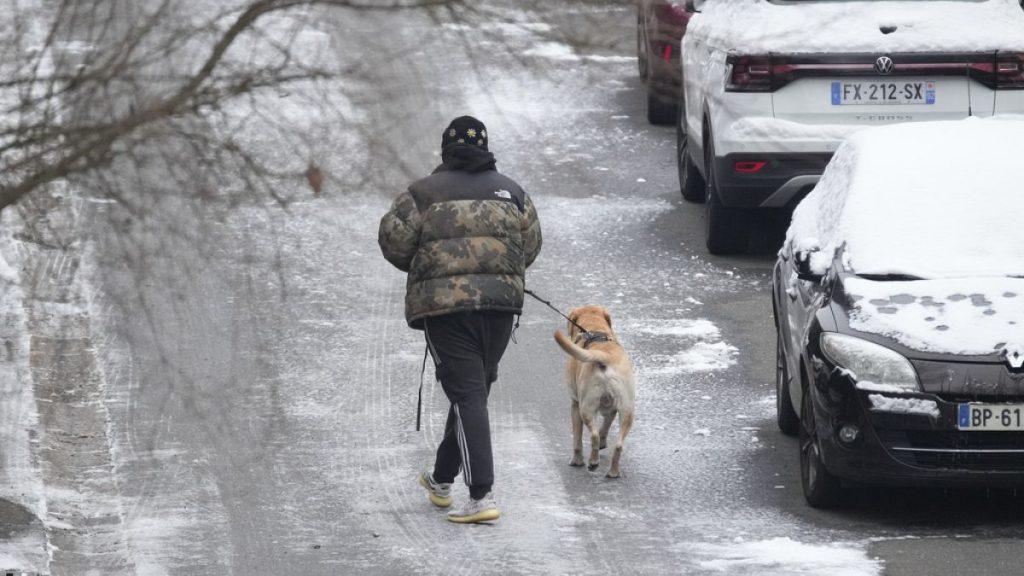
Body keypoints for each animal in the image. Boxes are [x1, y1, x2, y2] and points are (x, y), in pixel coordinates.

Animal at [552, 305, 630, 475]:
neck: (595, 329)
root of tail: (604, 356)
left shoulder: (575, 404)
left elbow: (577, 439)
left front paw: (577, 461)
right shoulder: (611, 409)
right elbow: (605, 426)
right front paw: (603, 442)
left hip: (586, 408)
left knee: (593, 436)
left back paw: (593, 462)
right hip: (627, 412)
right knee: (618, 445)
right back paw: (613, 472)